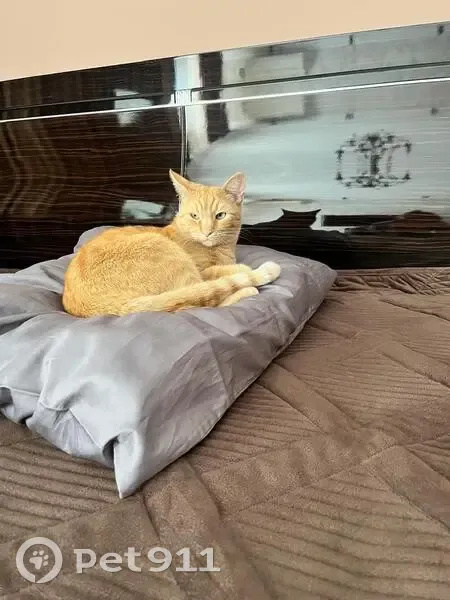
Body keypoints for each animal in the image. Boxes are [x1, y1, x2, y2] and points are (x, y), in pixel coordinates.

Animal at [62, 170, 281, 317]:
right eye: (195, 216)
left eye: (220, 215)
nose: (207, 232)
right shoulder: (203, 271)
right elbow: (223, 273)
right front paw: (244, 270)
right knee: (198, 301)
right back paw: (249, 287)